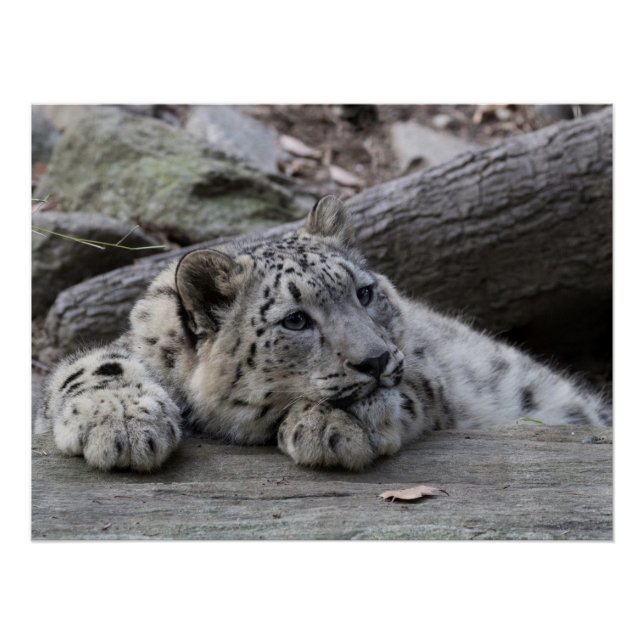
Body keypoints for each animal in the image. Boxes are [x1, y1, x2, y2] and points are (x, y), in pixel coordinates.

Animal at [36, 195, 612, 472]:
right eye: (296, 319)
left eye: (364, 292)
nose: (377, 360)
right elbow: (92, 364)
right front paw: (121, 425)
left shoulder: (427, 370)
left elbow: (410, 388)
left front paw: (334, 426)